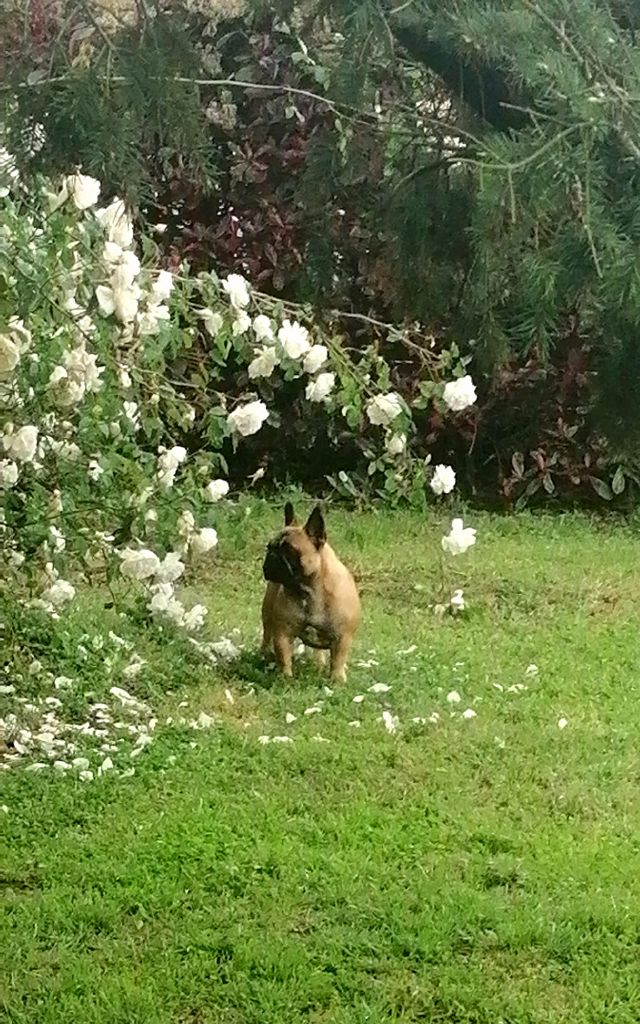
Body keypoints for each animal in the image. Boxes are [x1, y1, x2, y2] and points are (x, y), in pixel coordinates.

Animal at [261, 501, 360, 679]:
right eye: (269, 547)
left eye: (290, 551)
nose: (272, 556)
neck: (309, 590)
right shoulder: (282, 632)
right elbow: (283, 656)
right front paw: (285, 678)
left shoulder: (343, 637)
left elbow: (338, 660)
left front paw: (337, 679)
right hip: (267, 614)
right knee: (267, 634)